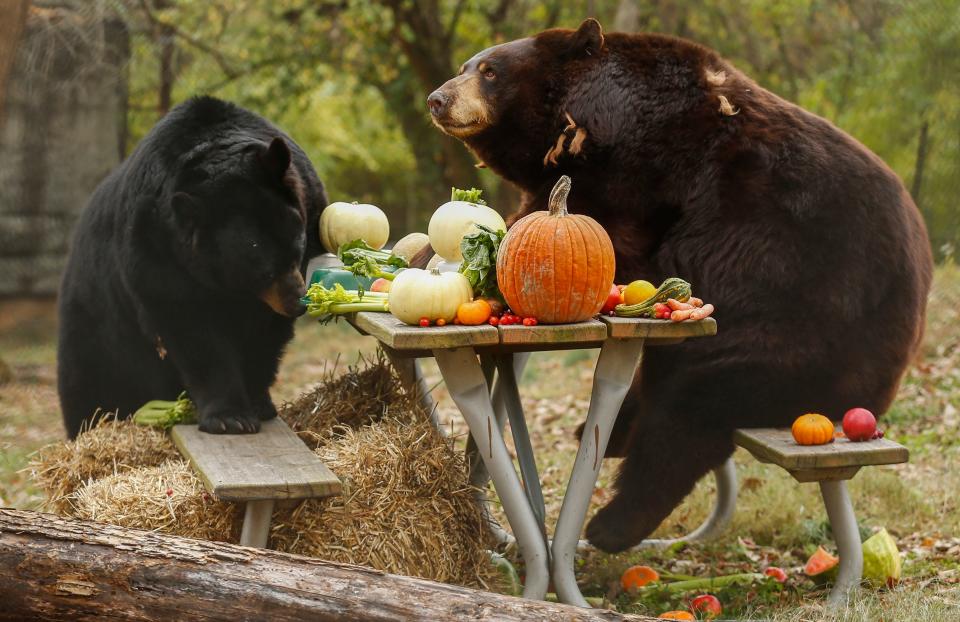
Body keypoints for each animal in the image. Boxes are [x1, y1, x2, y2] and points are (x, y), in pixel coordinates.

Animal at [57, 96, 326, 438]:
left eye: (298, 246)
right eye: (261, 269)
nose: (297, 302)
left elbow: (265, 335)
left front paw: (257, 401)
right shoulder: (156, 251)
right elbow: (190, 328)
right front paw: (230, 417)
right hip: (96, 323)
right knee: (90, 381)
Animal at [430, 18, 936, 552]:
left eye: (489, 70)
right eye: (465, 65)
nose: (438, 99)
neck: (592, 116)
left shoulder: (639, 175)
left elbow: (590, 225)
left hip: (792, 325)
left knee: (688, 413)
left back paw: (611, 522)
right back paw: (601, 434)